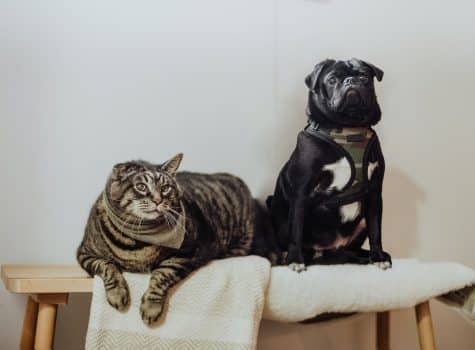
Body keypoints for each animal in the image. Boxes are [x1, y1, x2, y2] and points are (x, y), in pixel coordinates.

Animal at [76, 153, 274, 326]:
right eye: (141, 186)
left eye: (165, 188)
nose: (157, 200)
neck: (138, 241)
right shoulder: (85, 253)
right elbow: (107, 266)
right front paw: (117, 294)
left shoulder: (189, 252)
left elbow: (162, 274)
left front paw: (151, 307)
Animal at [268, 57, 394, 272]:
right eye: (332, 79)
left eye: (364, 77)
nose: (351, 81)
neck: (349, 128)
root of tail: (326, 251)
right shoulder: (301, 193)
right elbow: (296, 230)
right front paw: (295, 260)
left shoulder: (375, 193)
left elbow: (376, 230)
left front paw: (378, 256)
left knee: (351, 249)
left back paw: (366, 256)